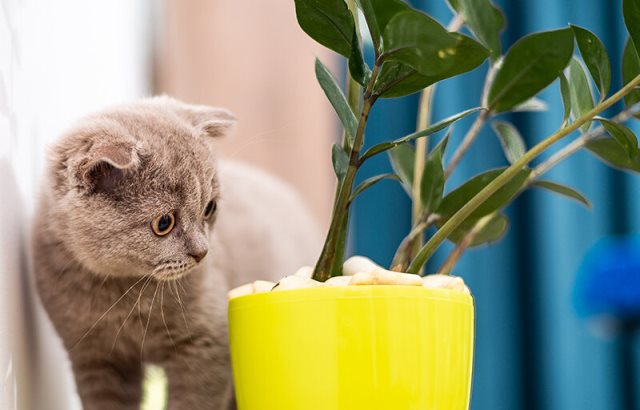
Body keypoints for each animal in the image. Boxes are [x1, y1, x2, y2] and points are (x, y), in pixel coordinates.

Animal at [31, 97, 320, 410]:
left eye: (209, 208)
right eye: (164, 223)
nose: (202, 252)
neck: (124, 297)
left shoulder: (206, 343)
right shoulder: (94, 358)